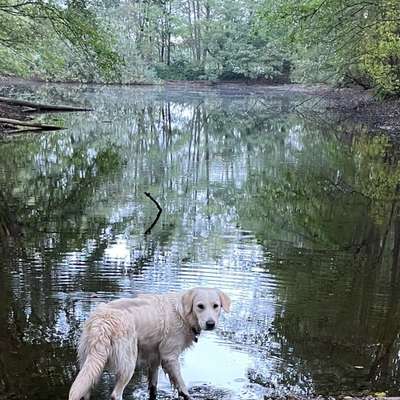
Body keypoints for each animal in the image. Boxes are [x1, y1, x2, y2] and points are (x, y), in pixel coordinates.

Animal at [69, 288, 231, 400]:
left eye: (216, 306)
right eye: (200, 306)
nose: (210, 324)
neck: (182, 314)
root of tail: (102, 324)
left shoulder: (155, 358)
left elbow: (153, 385)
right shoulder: (169, 357)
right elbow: (182, 386)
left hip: (89, 364)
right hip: (128, 364)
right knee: (116, 394)